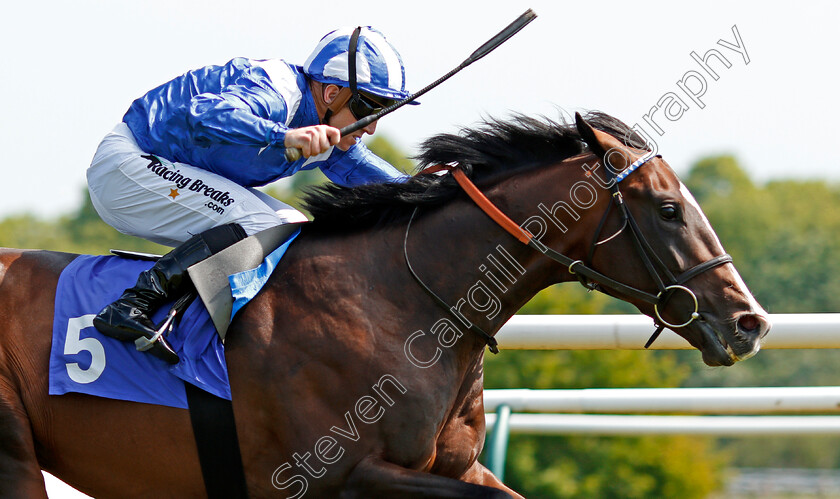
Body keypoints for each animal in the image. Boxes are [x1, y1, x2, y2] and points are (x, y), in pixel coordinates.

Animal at [0, 111, 772, 498]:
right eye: (669, 208)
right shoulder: (340, 475)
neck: (401, 305)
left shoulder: (451, 466)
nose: (749, 322)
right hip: (15, 454)